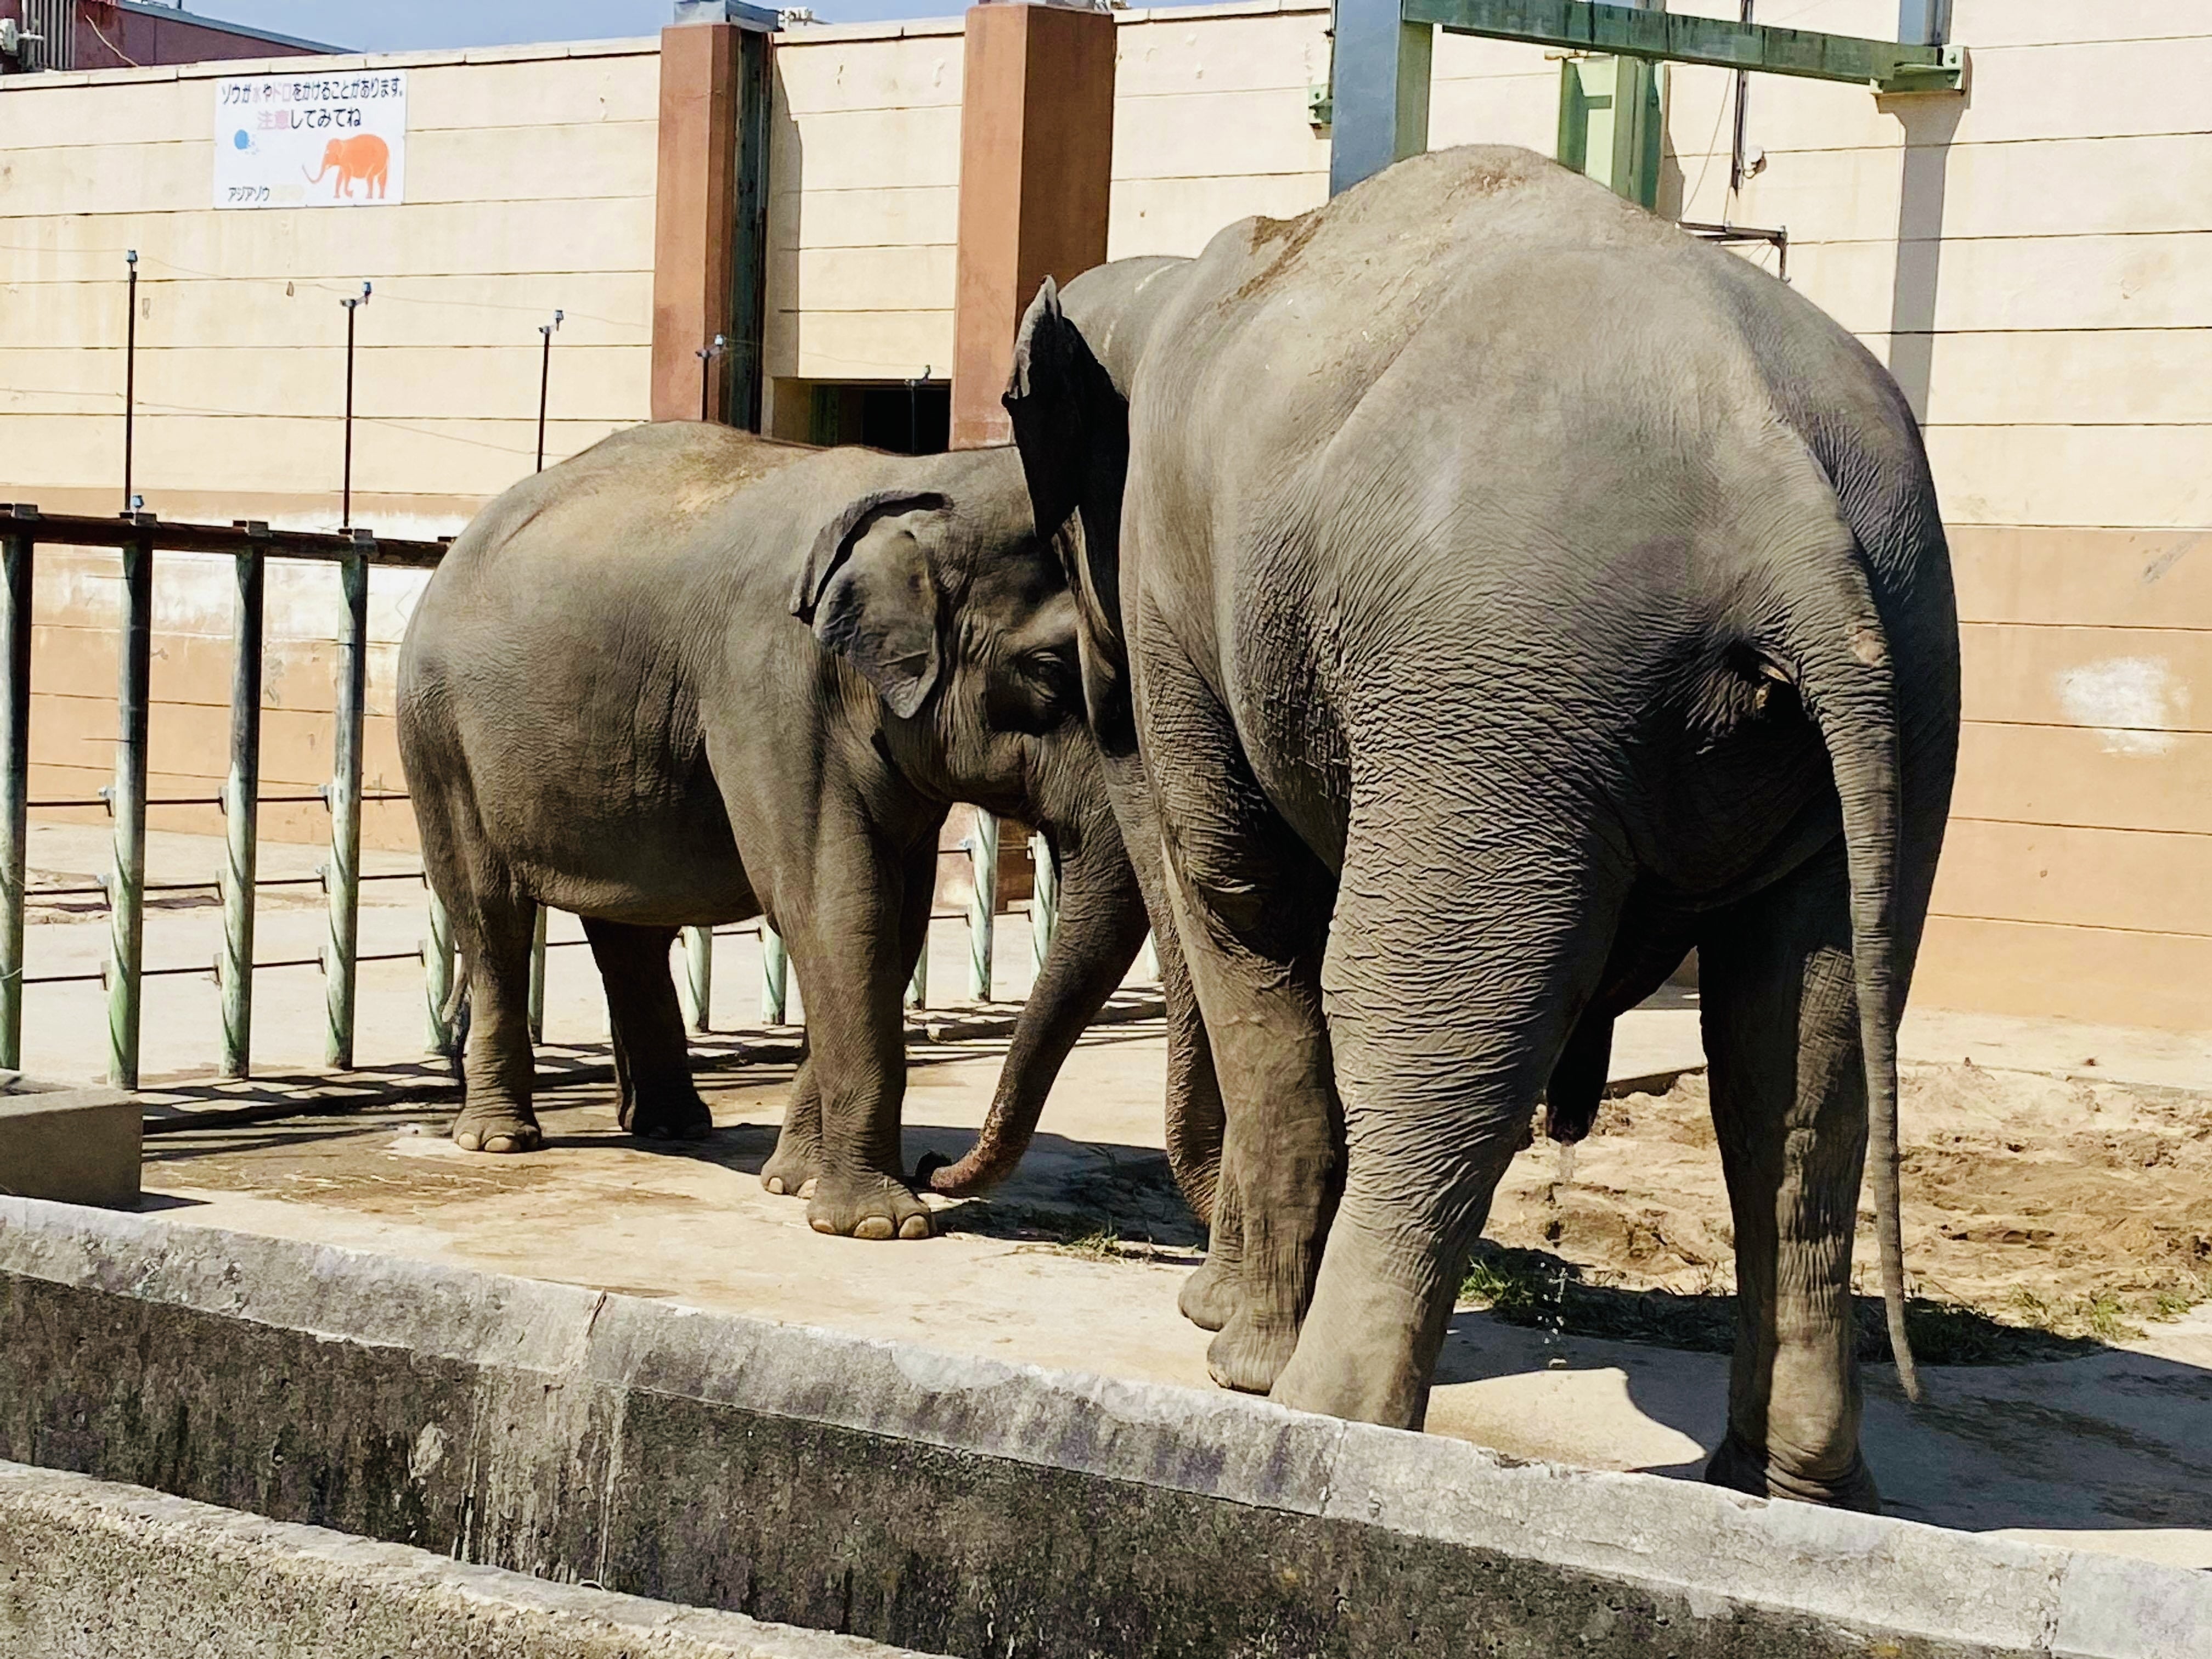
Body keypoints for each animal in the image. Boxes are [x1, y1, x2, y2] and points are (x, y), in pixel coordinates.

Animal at [397, 421, 1153, 1240]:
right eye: (1051, 670)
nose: (936, 1169)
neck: (927, 481)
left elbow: (892, 918)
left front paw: (798, 1186)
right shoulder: (772, 681)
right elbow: (833, 901)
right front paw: (881, 1225)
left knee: (629, 931)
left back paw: (672, 1127)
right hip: (438, 733)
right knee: (490, 912)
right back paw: (501, 1140)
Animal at [1000, 145, 1960, 1511]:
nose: (1193, 1294)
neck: (1175, 275)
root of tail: (1781, 489)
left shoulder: (1174, 591)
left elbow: (1240, 895)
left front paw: (1236, 1360)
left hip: (1500, 695)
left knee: (1436, 1031)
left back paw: (1326, 1416)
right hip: (1897, 697)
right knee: (1803, 1061)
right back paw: (1788, 1488)